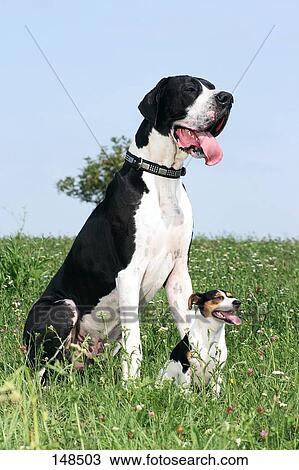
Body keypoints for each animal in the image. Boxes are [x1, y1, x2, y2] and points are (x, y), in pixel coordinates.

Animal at [24, 75, 234, 380]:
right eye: (189, 89)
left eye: (213, 87)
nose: (227, 98)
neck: (162, 176)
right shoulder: (129, 272)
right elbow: (134, 340)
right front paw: (132, 383)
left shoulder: (179, 273)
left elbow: (188, 325)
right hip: (62, 307)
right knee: (41, 369)